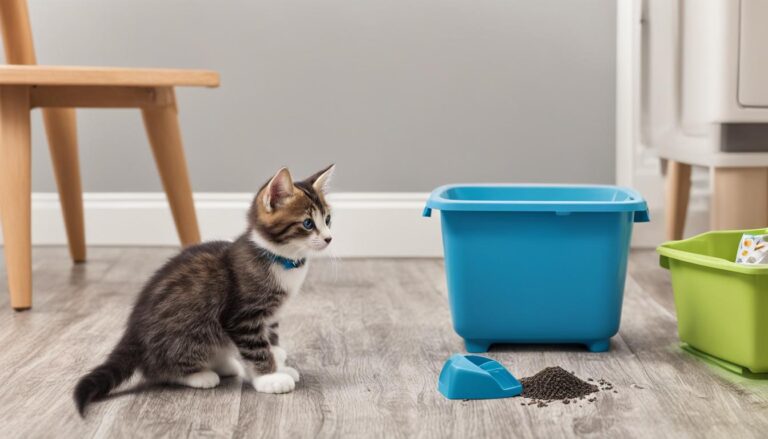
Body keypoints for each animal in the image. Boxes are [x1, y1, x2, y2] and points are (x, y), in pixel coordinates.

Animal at [73, 164, 334, 416]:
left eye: (328, 219)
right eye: (308, 223)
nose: (329, 238)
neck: (279, 257)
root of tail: (133, 331)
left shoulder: (269, 315)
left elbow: (270, 338)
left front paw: (279, 362)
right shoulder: (241, 316)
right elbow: (256, 348)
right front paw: (270, 378)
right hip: (189, 330)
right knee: (158, 370)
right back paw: (199, 375)